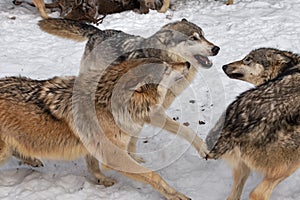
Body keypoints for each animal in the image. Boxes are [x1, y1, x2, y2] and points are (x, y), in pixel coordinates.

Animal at [0, 57, 202, 198]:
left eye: (167, 63)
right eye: (166, 68)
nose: (187, 63)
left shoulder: (96, 147)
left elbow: (93, 166)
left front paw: (101, 180)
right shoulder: (113, 155)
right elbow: (153, 175)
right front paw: (176, 195)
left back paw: (32, 160)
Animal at [38, 17, 219, 169]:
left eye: (203, 36)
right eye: (193, 38)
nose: (216, 48)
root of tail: (98, 32)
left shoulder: (141, 112)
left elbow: (134, 137)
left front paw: (134, 157)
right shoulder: (153, 113)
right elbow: (186, 130)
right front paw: (203, 149)